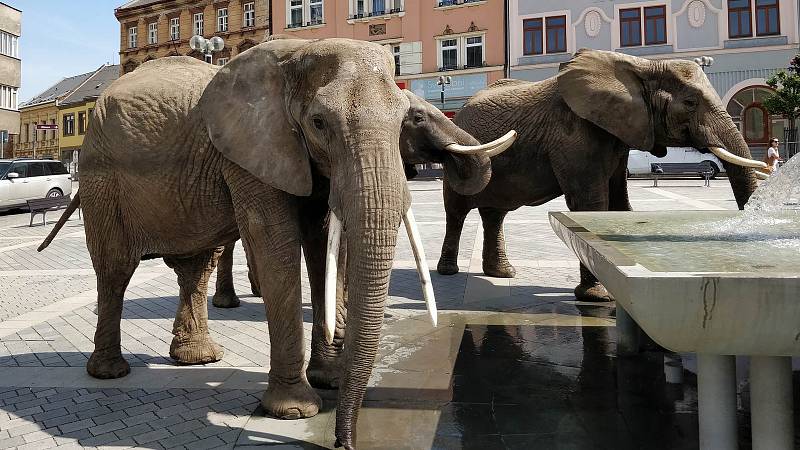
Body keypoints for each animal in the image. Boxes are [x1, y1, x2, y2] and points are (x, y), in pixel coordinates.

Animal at [37, 37, 512, 448]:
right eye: (319, 123)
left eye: (404, 120)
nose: (344, 442)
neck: (299, 52)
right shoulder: (251, 150)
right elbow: (276, 245)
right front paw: (295, 411)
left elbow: (321, 245)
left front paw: (330, 379)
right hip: (101, 178)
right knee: (115, 270)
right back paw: (110, 372)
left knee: (195, 267)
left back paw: (198, 360)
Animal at [434, 49, 764, 300]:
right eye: (691, 103)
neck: (640, 66)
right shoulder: (574, 133)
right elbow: (590, 205)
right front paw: (598, 298)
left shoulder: (619, 135)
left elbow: (618, 203)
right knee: (457, 212)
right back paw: (449, 271)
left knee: (495, 214)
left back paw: (503, 273)